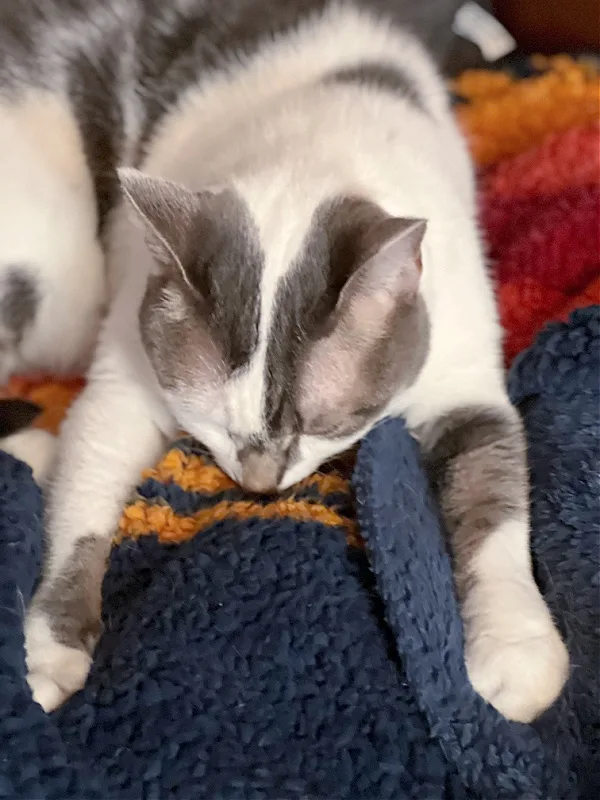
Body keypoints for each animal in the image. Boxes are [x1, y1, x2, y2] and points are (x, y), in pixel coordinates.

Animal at [1, 0, 568, 720]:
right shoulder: (120, 382)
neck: (310, 151)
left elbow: (494, 500)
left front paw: (516, 649)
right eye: (212, 422)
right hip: (52, 274)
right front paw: (52, 648)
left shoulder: (465, 380)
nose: (260, 484)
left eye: (321, 425)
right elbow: (81, 506)